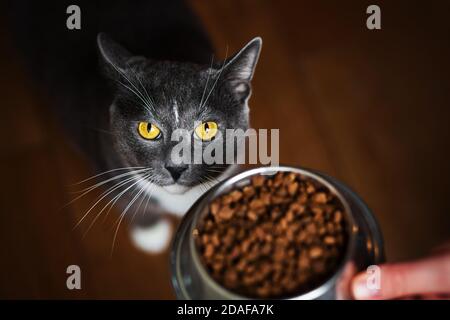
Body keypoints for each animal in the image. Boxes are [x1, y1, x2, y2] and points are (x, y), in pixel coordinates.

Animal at [7, 0, 260, 251]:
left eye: (207, 128)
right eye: (148, 129)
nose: (176, 167)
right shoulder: (104, 161)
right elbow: (127, 200)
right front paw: (151, 234)